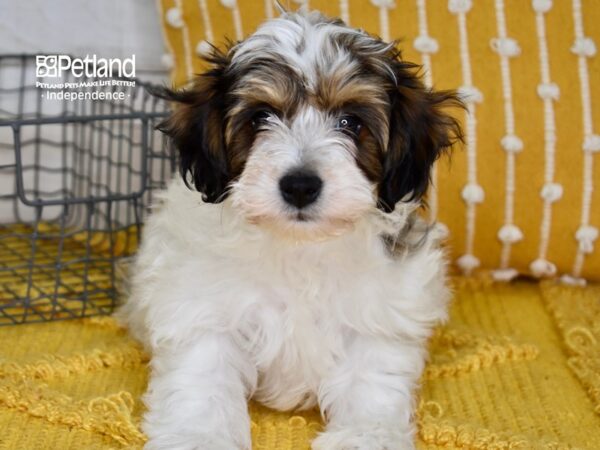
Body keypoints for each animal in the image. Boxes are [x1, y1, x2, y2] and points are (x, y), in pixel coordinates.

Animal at [119, 7, 462, 450]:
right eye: (261, 117)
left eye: (351, 122)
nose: (300, 185)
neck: (299, 247)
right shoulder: (204, 310)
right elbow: (203, 379)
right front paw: (199, 435)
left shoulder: (381, 312)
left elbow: (372, 379)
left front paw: (366, 435)